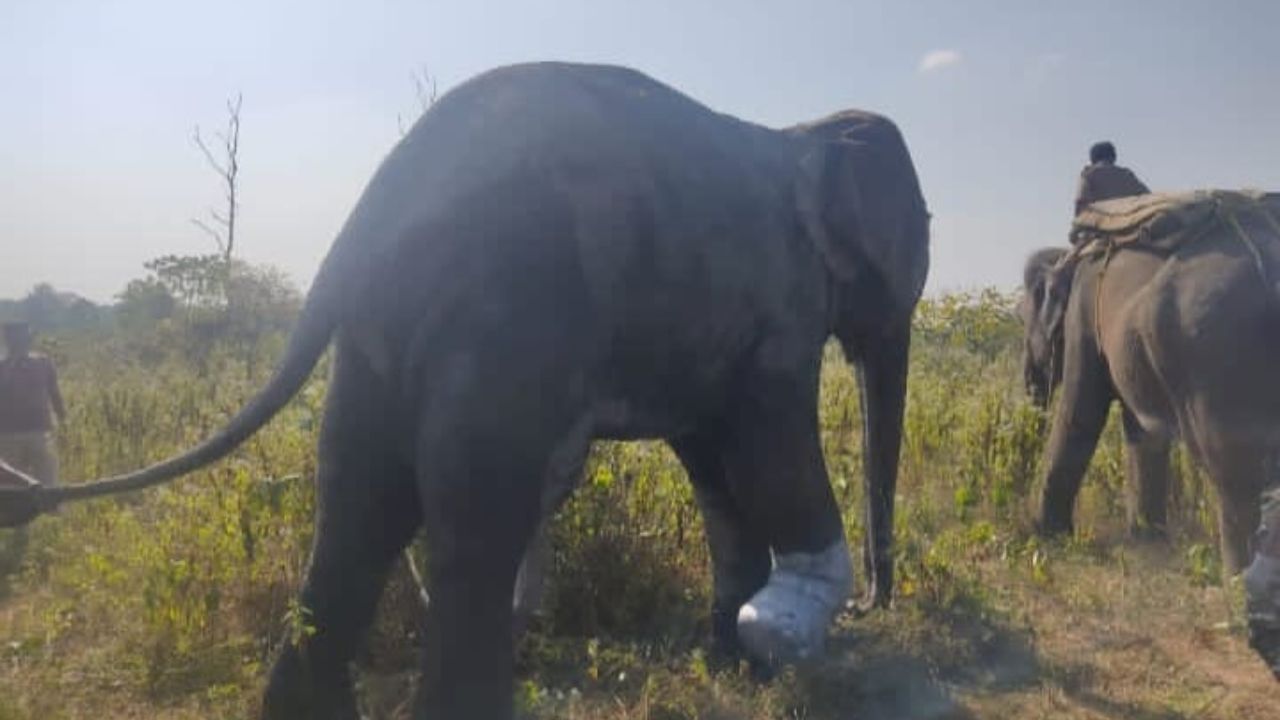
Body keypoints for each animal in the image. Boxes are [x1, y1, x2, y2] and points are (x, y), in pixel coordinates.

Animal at [0, 63, 926, 717]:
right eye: (921, 238)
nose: (876, 607)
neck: (805, 136)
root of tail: (374, 206)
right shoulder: (779, 297)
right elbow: (769, 439)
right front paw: (780, 632)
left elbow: (712, 461)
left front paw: (736, 654)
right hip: (508, 304)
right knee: (474, 517)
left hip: (388, 333)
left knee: (360, 501)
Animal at [1018, 190, 1280, 571]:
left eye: (1022, 319)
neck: (1069, 257)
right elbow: (1141, 429)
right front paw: (1147, 541)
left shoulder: (1083, 313)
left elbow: (1081, 411)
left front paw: (1046, 535)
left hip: (1215, 349)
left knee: (1232, 470)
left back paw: (1238, 581)